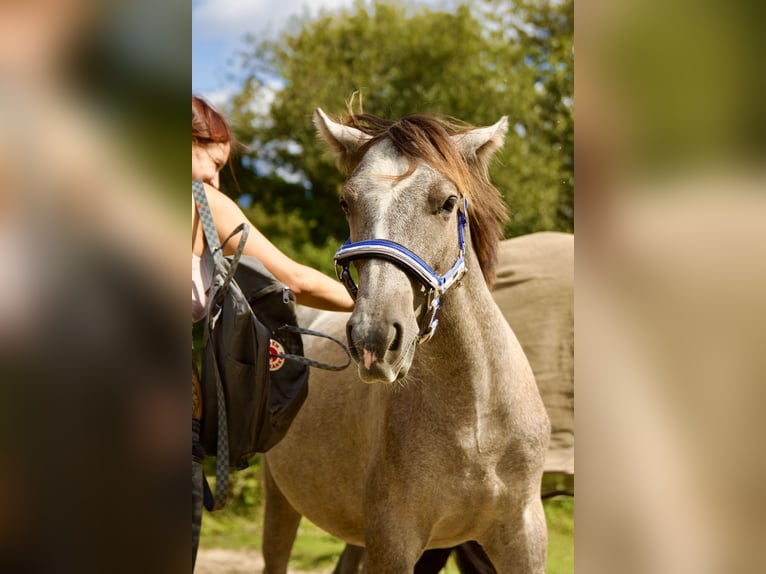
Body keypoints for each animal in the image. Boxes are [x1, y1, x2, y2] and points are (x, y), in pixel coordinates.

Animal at [262, 109, 552, 574]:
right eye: (346, 202)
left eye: (448, 202)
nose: (374, 338)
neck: (476, 422)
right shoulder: (393, 540)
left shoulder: (523, 538)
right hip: (281, 503)